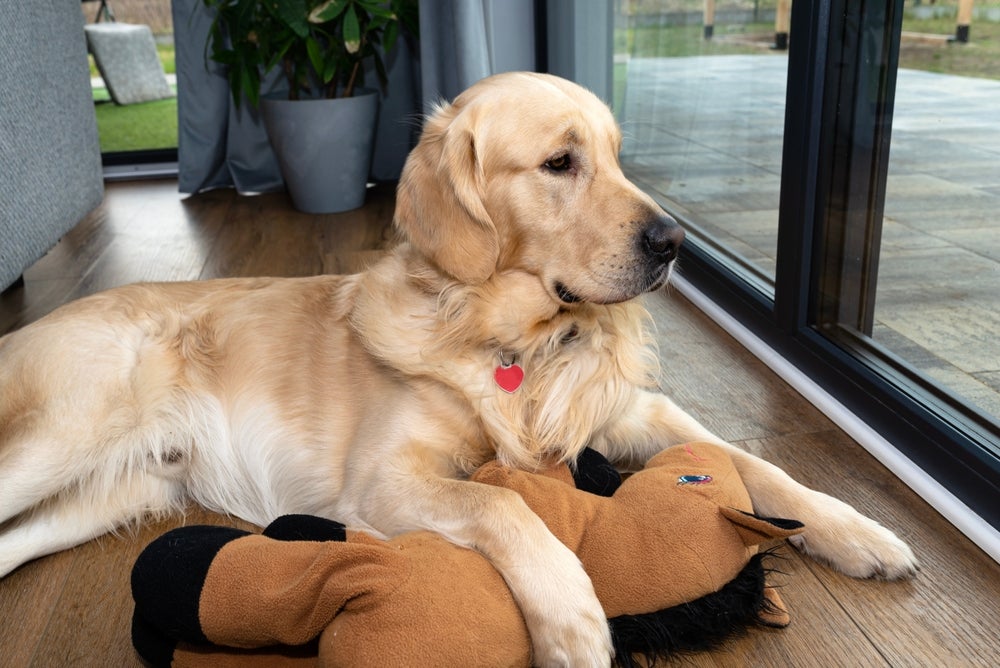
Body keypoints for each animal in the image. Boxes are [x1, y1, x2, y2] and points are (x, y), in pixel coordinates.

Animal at [0, 70, 916, 664]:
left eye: (619, 155)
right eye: (560, 162)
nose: (674, 243)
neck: (519, 346)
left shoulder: (631, 413)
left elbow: (754, 463)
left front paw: (857, 530)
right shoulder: (382, 480)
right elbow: (502, 503)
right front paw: (574, 619)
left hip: (117, 490)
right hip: (63, 437)